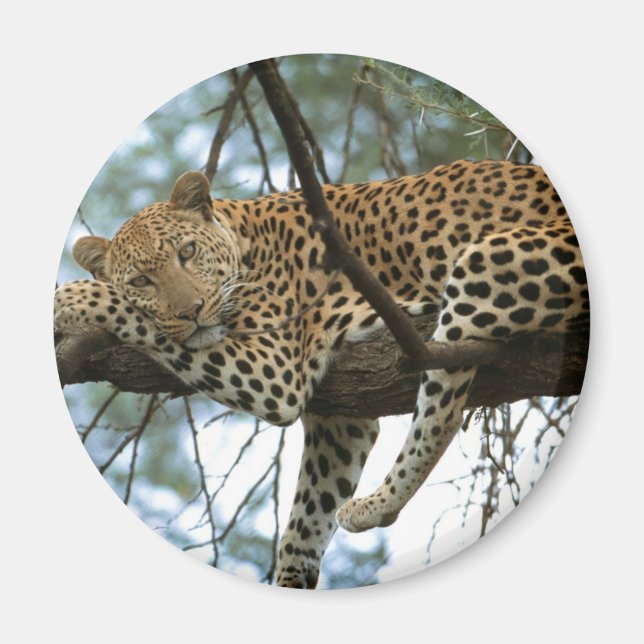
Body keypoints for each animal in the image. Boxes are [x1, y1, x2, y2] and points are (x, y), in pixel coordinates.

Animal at [54, 159, 589, 589]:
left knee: (442, 414)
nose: (192, 311)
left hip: (485, 262)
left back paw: (378, 503)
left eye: (186, 252)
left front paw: (71, 298)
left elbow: (130, 314)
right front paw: (292, 578)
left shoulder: (274, 371)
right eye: (142, 279)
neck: (244, 239)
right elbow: (309, 514)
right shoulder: (342, 417)